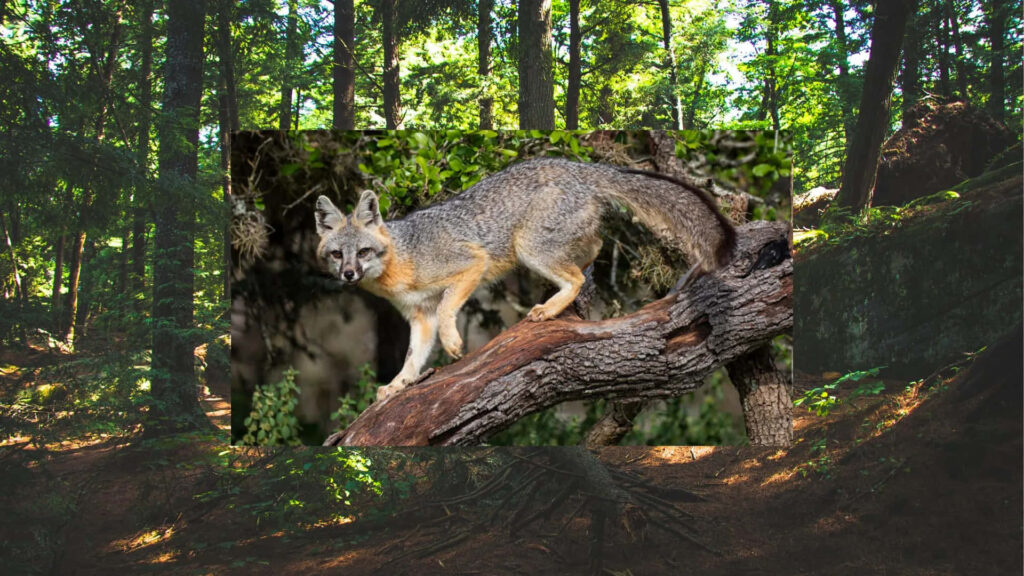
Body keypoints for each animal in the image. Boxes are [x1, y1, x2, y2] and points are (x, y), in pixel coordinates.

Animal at [314, 157, 737, 401]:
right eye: (337, 255)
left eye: (363, 252)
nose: (349, 274)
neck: (403, 259)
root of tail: (581, 166)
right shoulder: (419, 317)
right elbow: (412, 358)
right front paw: (399, 385)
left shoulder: (471, 263)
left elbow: (450, 306)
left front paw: (454, 343)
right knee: (596, 244)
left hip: (529, 248)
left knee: (576, 275)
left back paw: (550, 309)